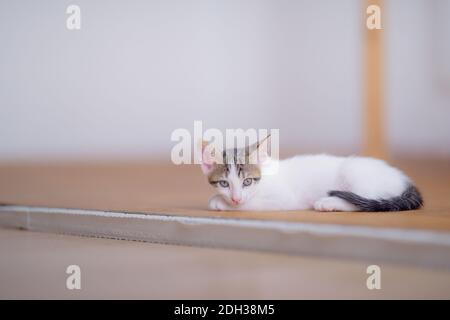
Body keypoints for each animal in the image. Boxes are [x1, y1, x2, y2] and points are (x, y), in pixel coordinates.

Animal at [199, 136, 424, 211]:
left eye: (247, 182)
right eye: (224, 184)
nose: (235, 199)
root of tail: (403, 179)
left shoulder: (283, 198)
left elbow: (252, 204)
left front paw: (222, 204)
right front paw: (221, 200)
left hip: (355, 173)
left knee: (364, 202)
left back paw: (328, 203)